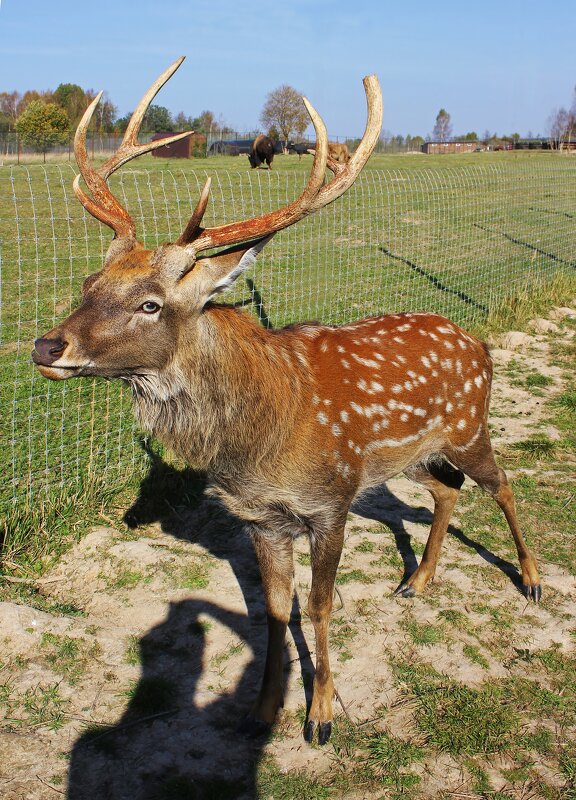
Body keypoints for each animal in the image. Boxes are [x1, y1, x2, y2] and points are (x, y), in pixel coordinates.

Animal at [33, 57, 544, 752]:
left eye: (149, 303)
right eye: (89, 283)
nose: (45, 345)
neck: (260, 444)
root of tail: (478, 343)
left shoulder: (329, 502)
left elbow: (322, 605)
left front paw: (322, 715)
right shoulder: (261, 517)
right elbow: (277, 610)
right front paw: (262, 709)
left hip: (469, 426)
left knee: (502, 483)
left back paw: (532, 580)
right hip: (409, 456)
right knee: (447, 489)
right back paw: (418, 580)